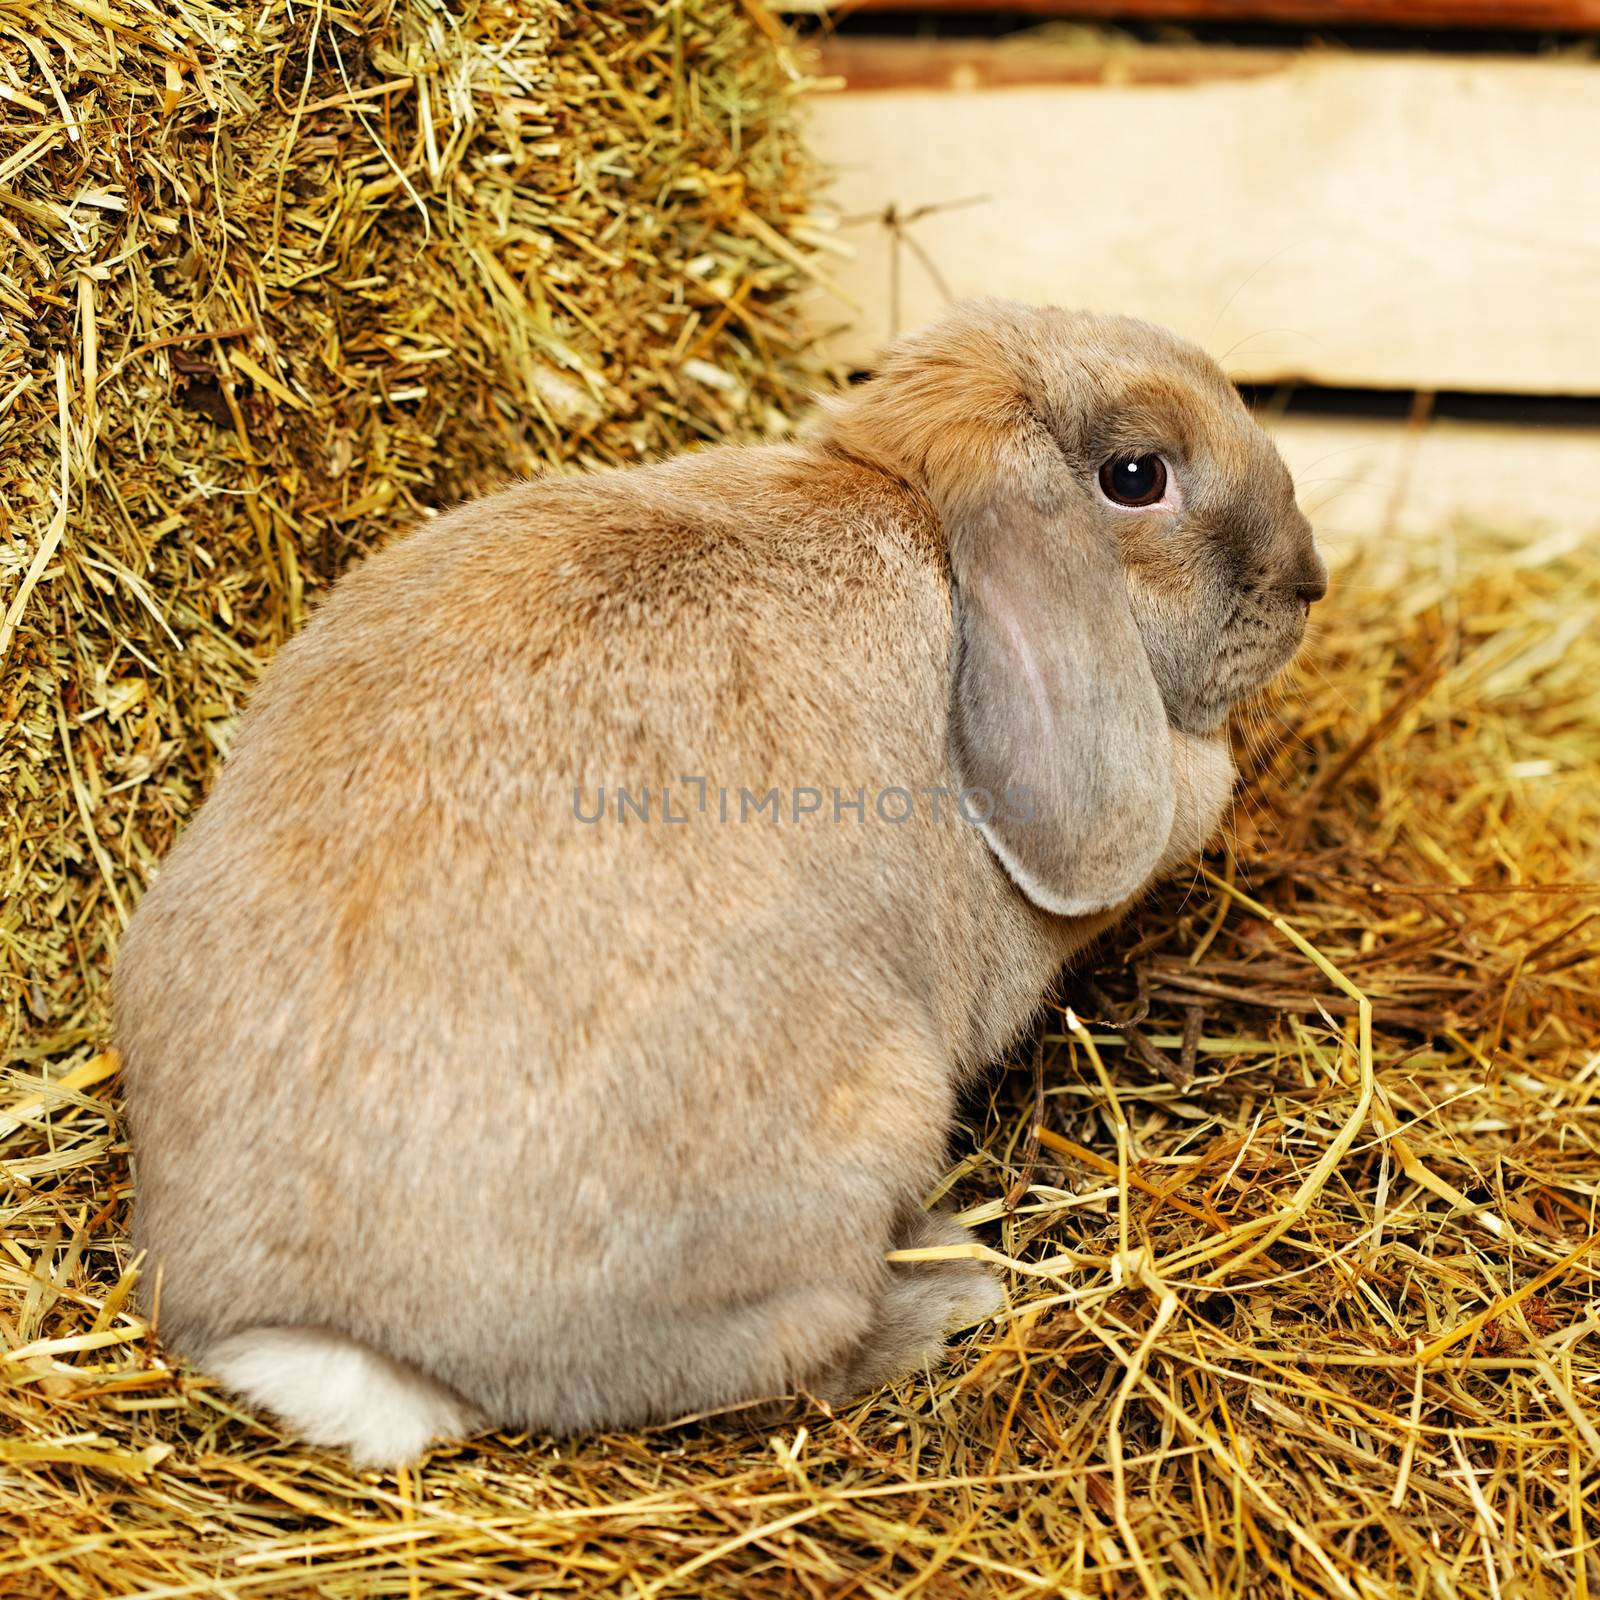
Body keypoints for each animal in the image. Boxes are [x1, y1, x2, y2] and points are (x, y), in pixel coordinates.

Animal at [116, 297, 1324, 1465]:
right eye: (1136, 477)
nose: (1308, 580)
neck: (920, 518)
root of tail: (326, 1334)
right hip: (875, 1119)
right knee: (789, 1360)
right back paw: (948, 1284)